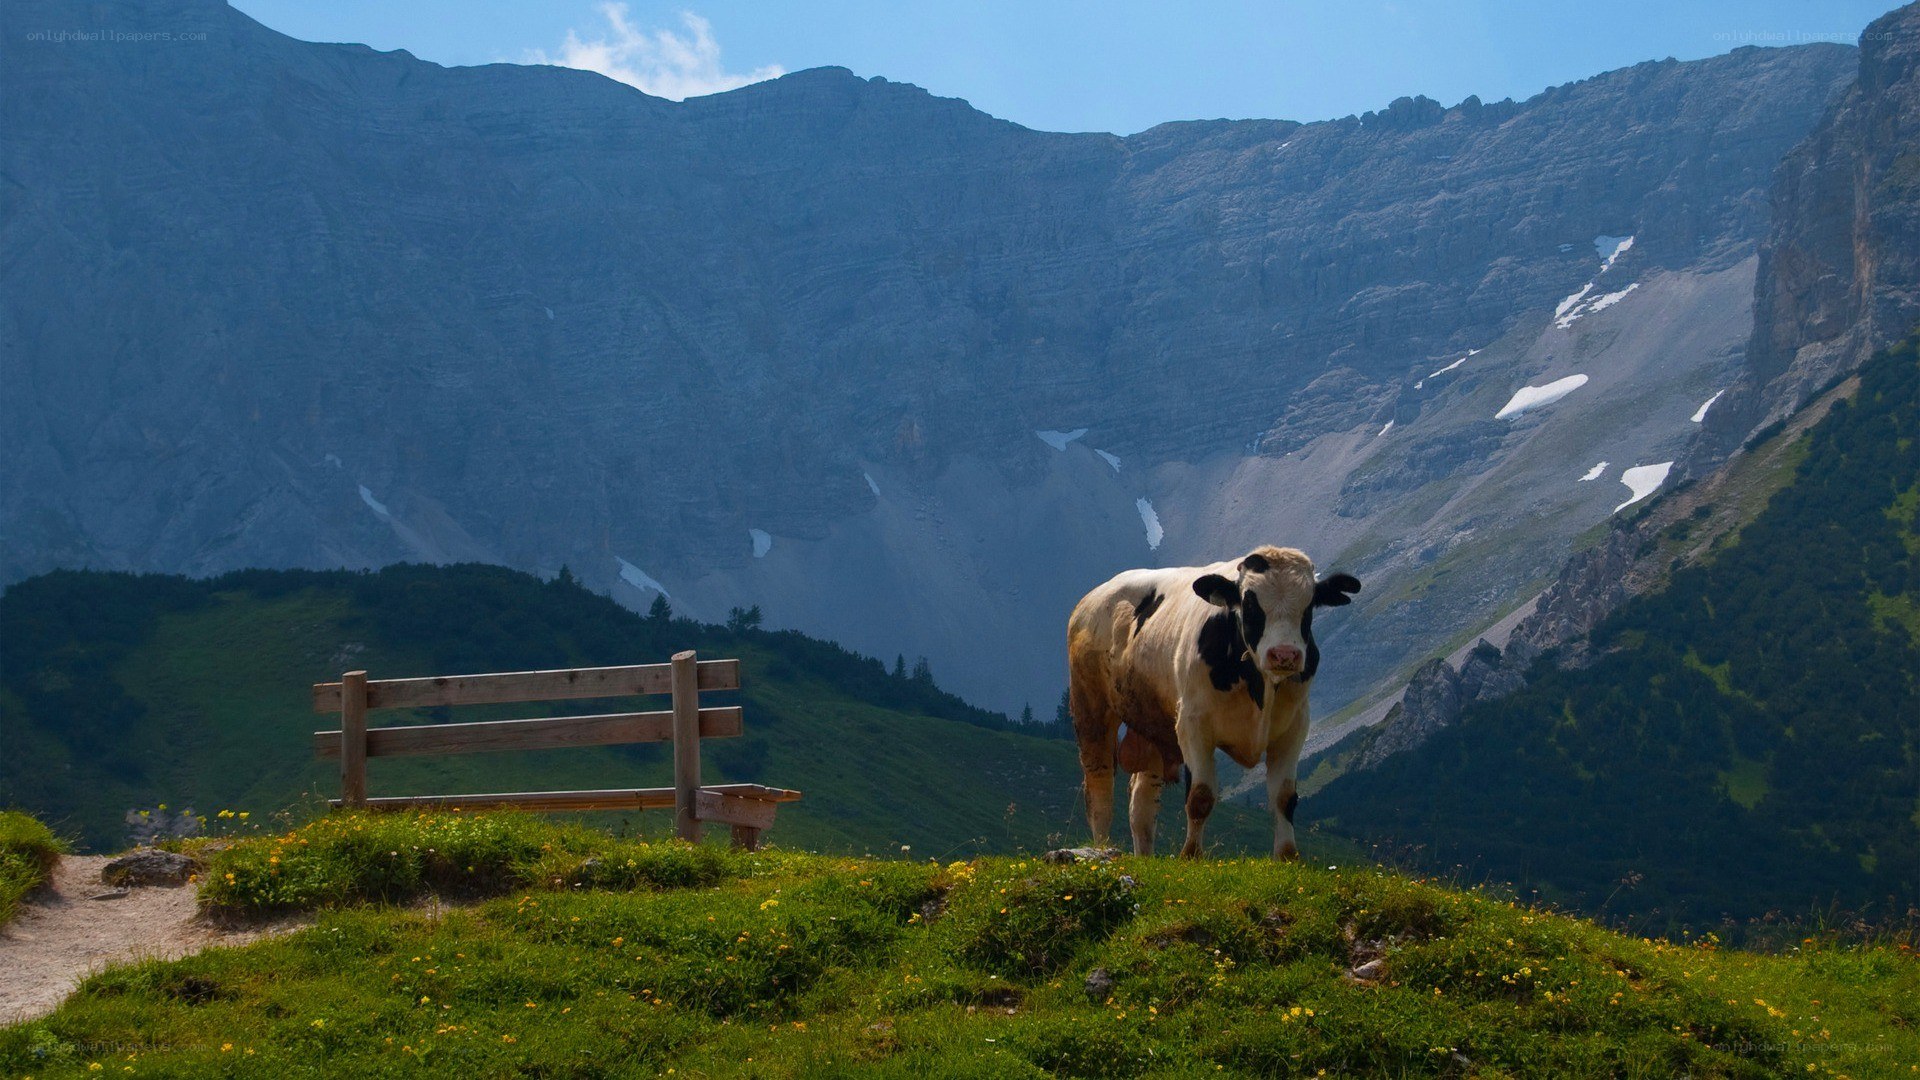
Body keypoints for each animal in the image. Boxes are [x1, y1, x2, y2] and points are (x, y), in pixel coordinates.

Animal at [1066, 546, 1360, 859]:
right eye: (1249, 603)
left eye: (1309, 604)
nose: (1284, 655)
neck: (1258, 683)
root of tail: (1093, 596)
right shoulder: (1192, 724)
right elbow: (1200, 795)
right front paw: (1191, 855)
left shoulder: (1295, 726)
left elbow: (1285, 798)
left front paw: (1287, 856)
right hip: (1090, 706)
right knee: (1099, 784)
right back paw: (1101, 848)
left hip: (1153, 727)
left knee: (1141, 801)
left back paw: (1144, 857)